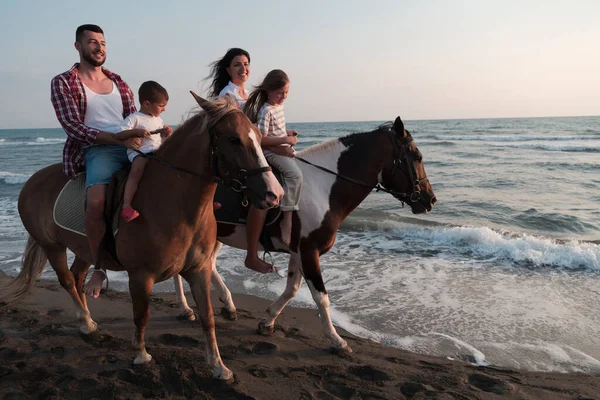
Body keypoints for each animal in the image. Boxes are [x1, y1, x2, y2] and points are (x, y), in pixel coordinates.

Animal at [0, 95, 284, 380]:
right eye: (234, 139)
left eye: (259, 135)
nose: (274, 193)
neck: (174, 204)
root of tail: (33, 180)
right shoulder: (140, 275)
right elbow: (142, 315)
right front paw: (141, 354)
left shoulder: (199, 270)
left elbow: (208, 316)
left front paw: (218, 366)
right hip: (52, 246)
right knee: (68, 280)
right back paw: (87, 323)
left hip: (84, 249)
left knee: (77, 276)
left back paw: (87, 321)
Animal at [173, 115, 436, 354]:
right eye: (418, 157)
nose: (431, 199)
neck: (323, 187)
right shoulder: (309, 251)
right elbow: (321, 297)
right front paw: (336, 340)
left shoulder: (297, 251)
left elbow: (292, 289)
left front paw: (267, 321)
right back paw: (187, 308)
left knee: (207, 264)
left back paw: (225, 305)